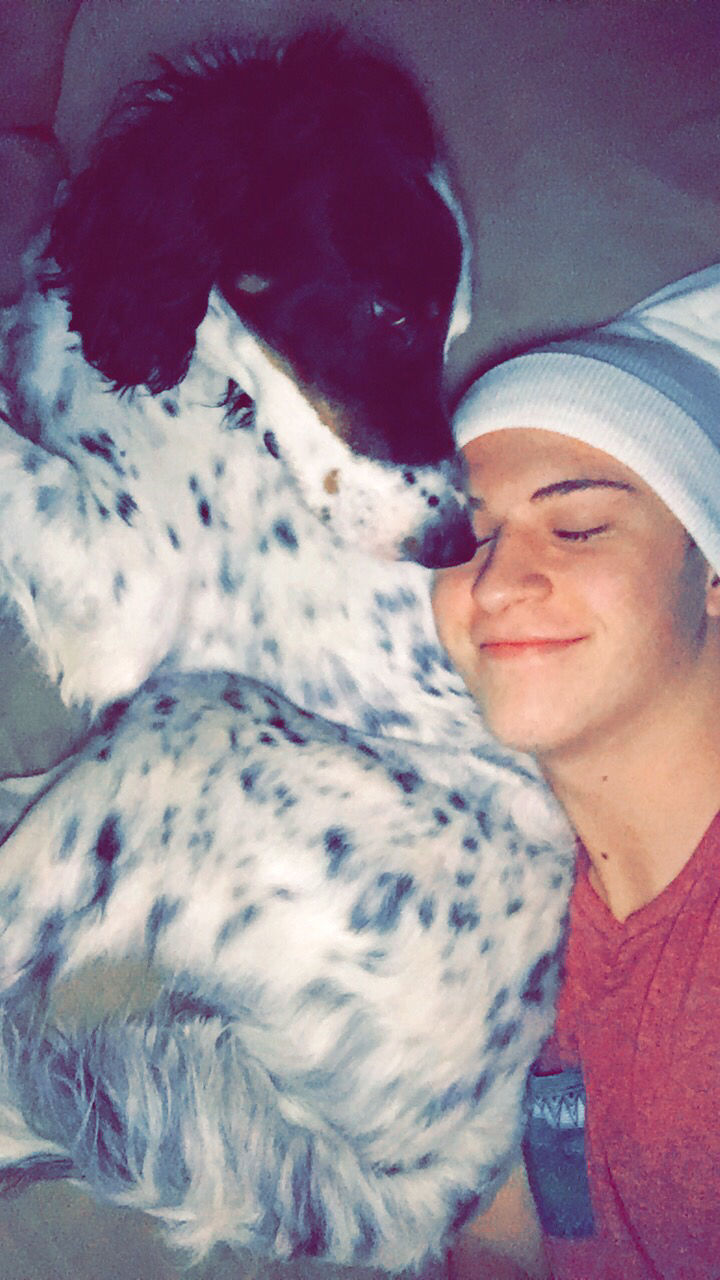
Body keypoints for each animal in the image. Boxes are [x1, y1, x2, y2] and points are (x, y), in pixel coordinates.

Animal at [0, 30, 574, 1274]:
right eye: (391, 315)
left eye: (440, 330)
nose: (451, 545)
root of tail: (483, 1136)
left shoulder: (120, 585)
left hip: (197, 725)